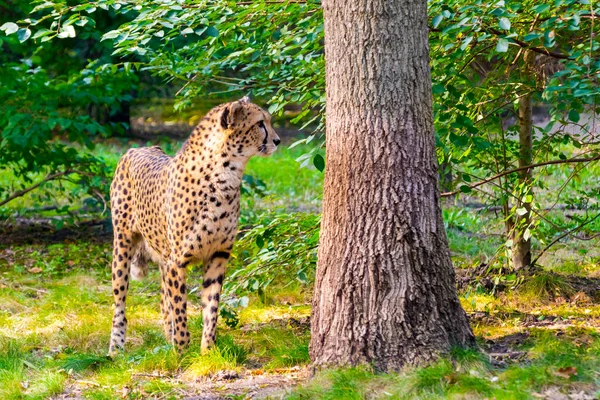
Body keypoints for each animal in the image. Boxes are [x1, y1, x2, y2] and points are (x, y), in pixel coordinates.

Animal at [108, 97, 282, 354]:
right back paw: (116, 347)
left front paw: (207, 351)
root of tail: (137, 148)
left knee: (163, 300)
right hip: (122, 244)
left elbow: (211, 308)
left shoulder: (218, 255)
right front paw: (181, 350)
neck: (225, 175)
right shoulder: (177, 261)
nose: (277, 141)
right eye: (260, 123)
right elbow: (180, 308)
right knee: (120, 299)